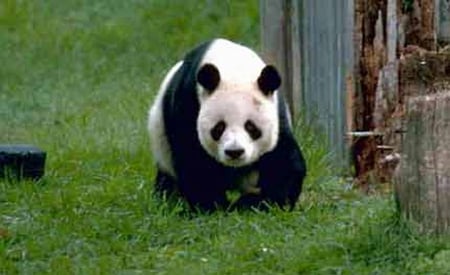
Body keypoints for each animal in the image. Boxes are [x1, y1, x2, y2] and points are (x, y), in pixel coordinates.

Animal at [148, 38, 306, 211]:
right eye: (219, 127)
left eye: (251, 127)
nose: (234, 152)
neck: (234, 69)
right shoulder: (188, 104)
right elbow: (194, 162)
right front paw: (212, 206)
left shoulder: (277, 114)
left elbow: (283, 161)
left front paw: (260, 203)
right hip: (162, 145)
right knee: (168, 178)